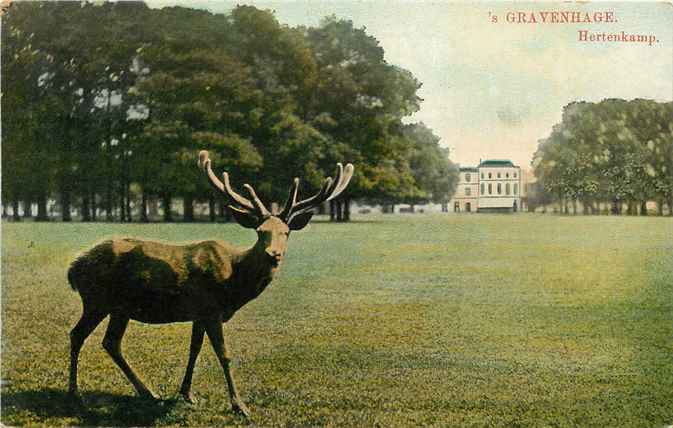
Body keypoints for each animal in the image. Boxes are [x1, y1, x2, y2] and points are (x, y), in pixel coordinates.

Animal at [65, 149, 354, 416]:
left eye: (286, 232)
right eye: (260, 232)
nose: (274, 253)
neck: (235, 284)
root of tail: (74, 268)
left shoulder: (200, 313)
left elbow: (194, 349)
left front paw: (187, 394)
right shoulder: (211, 309)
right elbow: (224, 355)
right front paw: (240, 406)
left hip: (120, 308)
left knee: (111, 343)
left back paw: (148, 392)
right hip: (97, 301)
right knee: (77, 334)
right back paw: (75, 395)